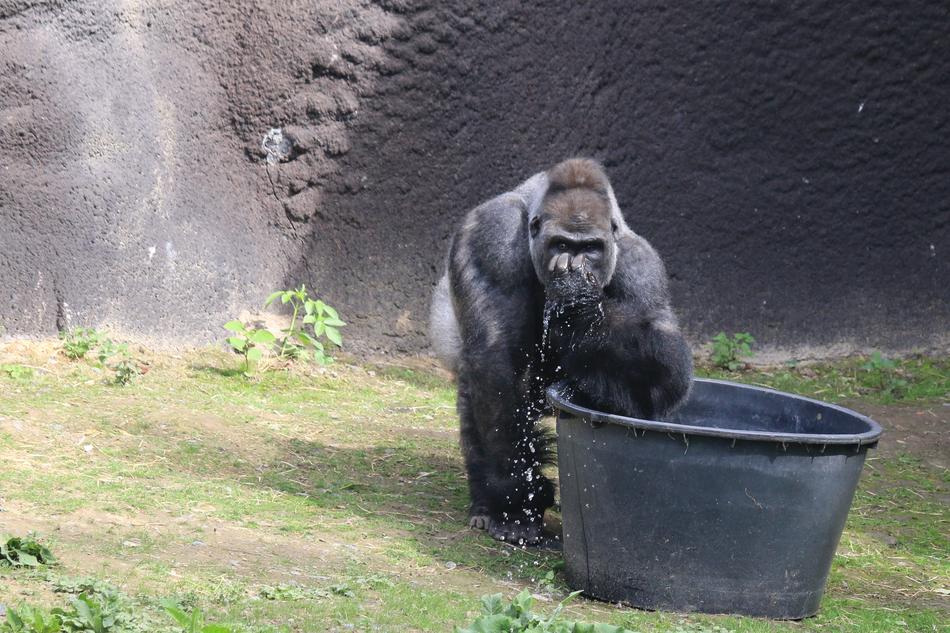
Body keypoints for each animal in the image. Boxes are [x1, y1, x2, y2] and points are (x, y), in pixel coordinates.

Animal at [429, 158, 693, 545]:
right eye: (561, 243)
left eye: (591, 247)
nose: (574, 263)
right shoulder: (492, 235)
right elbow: (495, 362)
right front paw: (517, 500)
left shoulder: (642, 267)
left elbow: (661, 382)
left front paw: (580, 304)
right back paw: (485, 501)